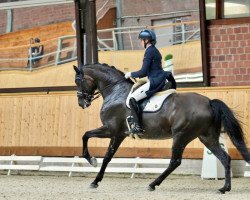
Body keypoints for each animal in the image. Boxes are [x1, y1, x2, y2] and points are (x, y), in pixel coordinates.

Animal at [73, 63, 250, 193]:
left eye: (77, 81)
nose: (82, 103)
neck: (115, 91)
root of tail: (209, 102)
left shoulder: (112, 131)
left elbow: (89, 139)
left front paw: (93, 166)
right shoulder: (118, 134)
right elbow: (102, 151)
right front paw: (95, 176)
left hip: (181, 135)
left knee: (175, 161)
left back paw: (153, 184)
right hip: (207, 137)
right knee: (224, 158)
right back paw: (224, 188)